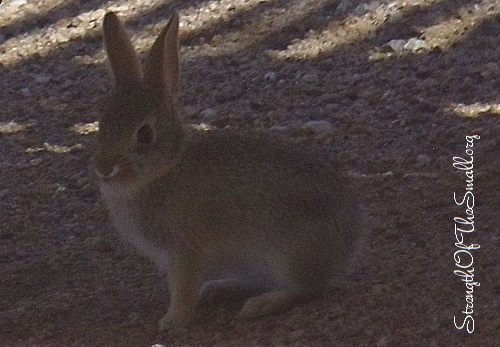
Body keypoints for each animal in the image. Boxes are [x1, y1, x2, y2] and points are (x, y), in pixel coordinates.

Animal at [93, 10, 360, 332]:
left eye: (145, 135)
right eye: (102, 124)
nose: (103, 167)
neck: (165, 168)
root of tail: (348, 244)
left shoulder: (187, 252)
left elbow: (183, 290)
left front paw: (171, 320)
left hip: (290, 254)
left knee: (305, 288)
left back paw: (261, 303)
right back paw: (218, 289)